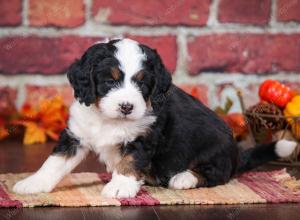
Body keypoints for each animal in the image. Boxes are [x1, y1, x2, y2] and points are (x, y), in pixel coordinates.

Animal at [12, 38, 298, 199]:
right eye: (110, 81)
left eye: (142, 84)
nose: (127, 106)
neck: (109, 119)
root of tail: (237, 155)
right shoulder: (76, 134)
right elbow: (54, 162)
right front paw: (32, 183)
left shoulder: (144, 138)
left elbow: (128, 162)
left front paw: (120, 187)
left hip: (216, 151)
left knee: (215, 174)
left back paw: (183, 177)